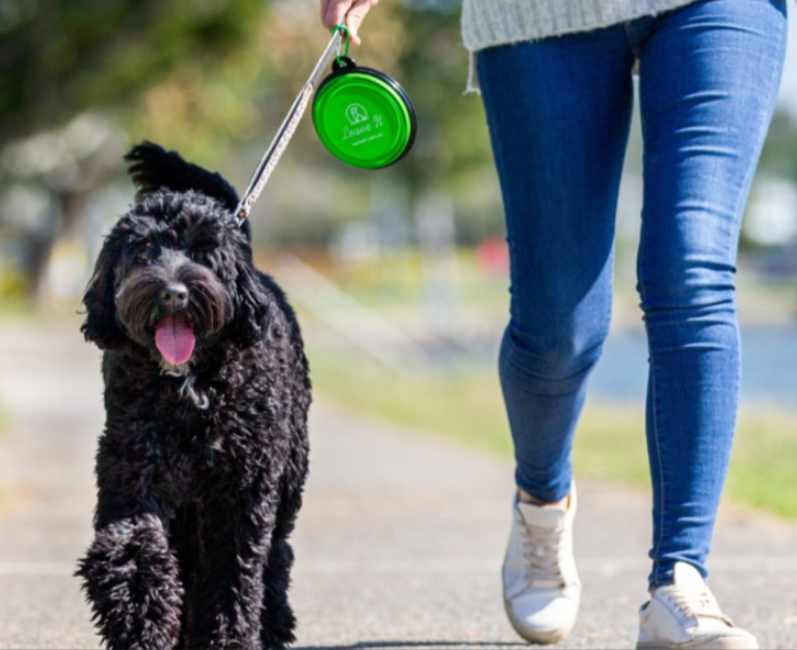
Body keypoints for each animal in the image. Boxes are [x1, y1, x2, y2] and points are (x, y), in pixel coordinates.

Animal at [75, 143, 310, 648]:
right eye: (144, 251)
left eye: (204, 252)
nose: (173, 293)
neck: (193, 387)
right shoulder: (135, 470)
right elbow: (133, 549)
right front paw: (139, 617)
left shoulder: (244, 490)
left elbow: (234, 575)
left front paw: (229, 637)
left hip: (285, 481)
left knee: (276, 556)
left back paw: (273, 624)